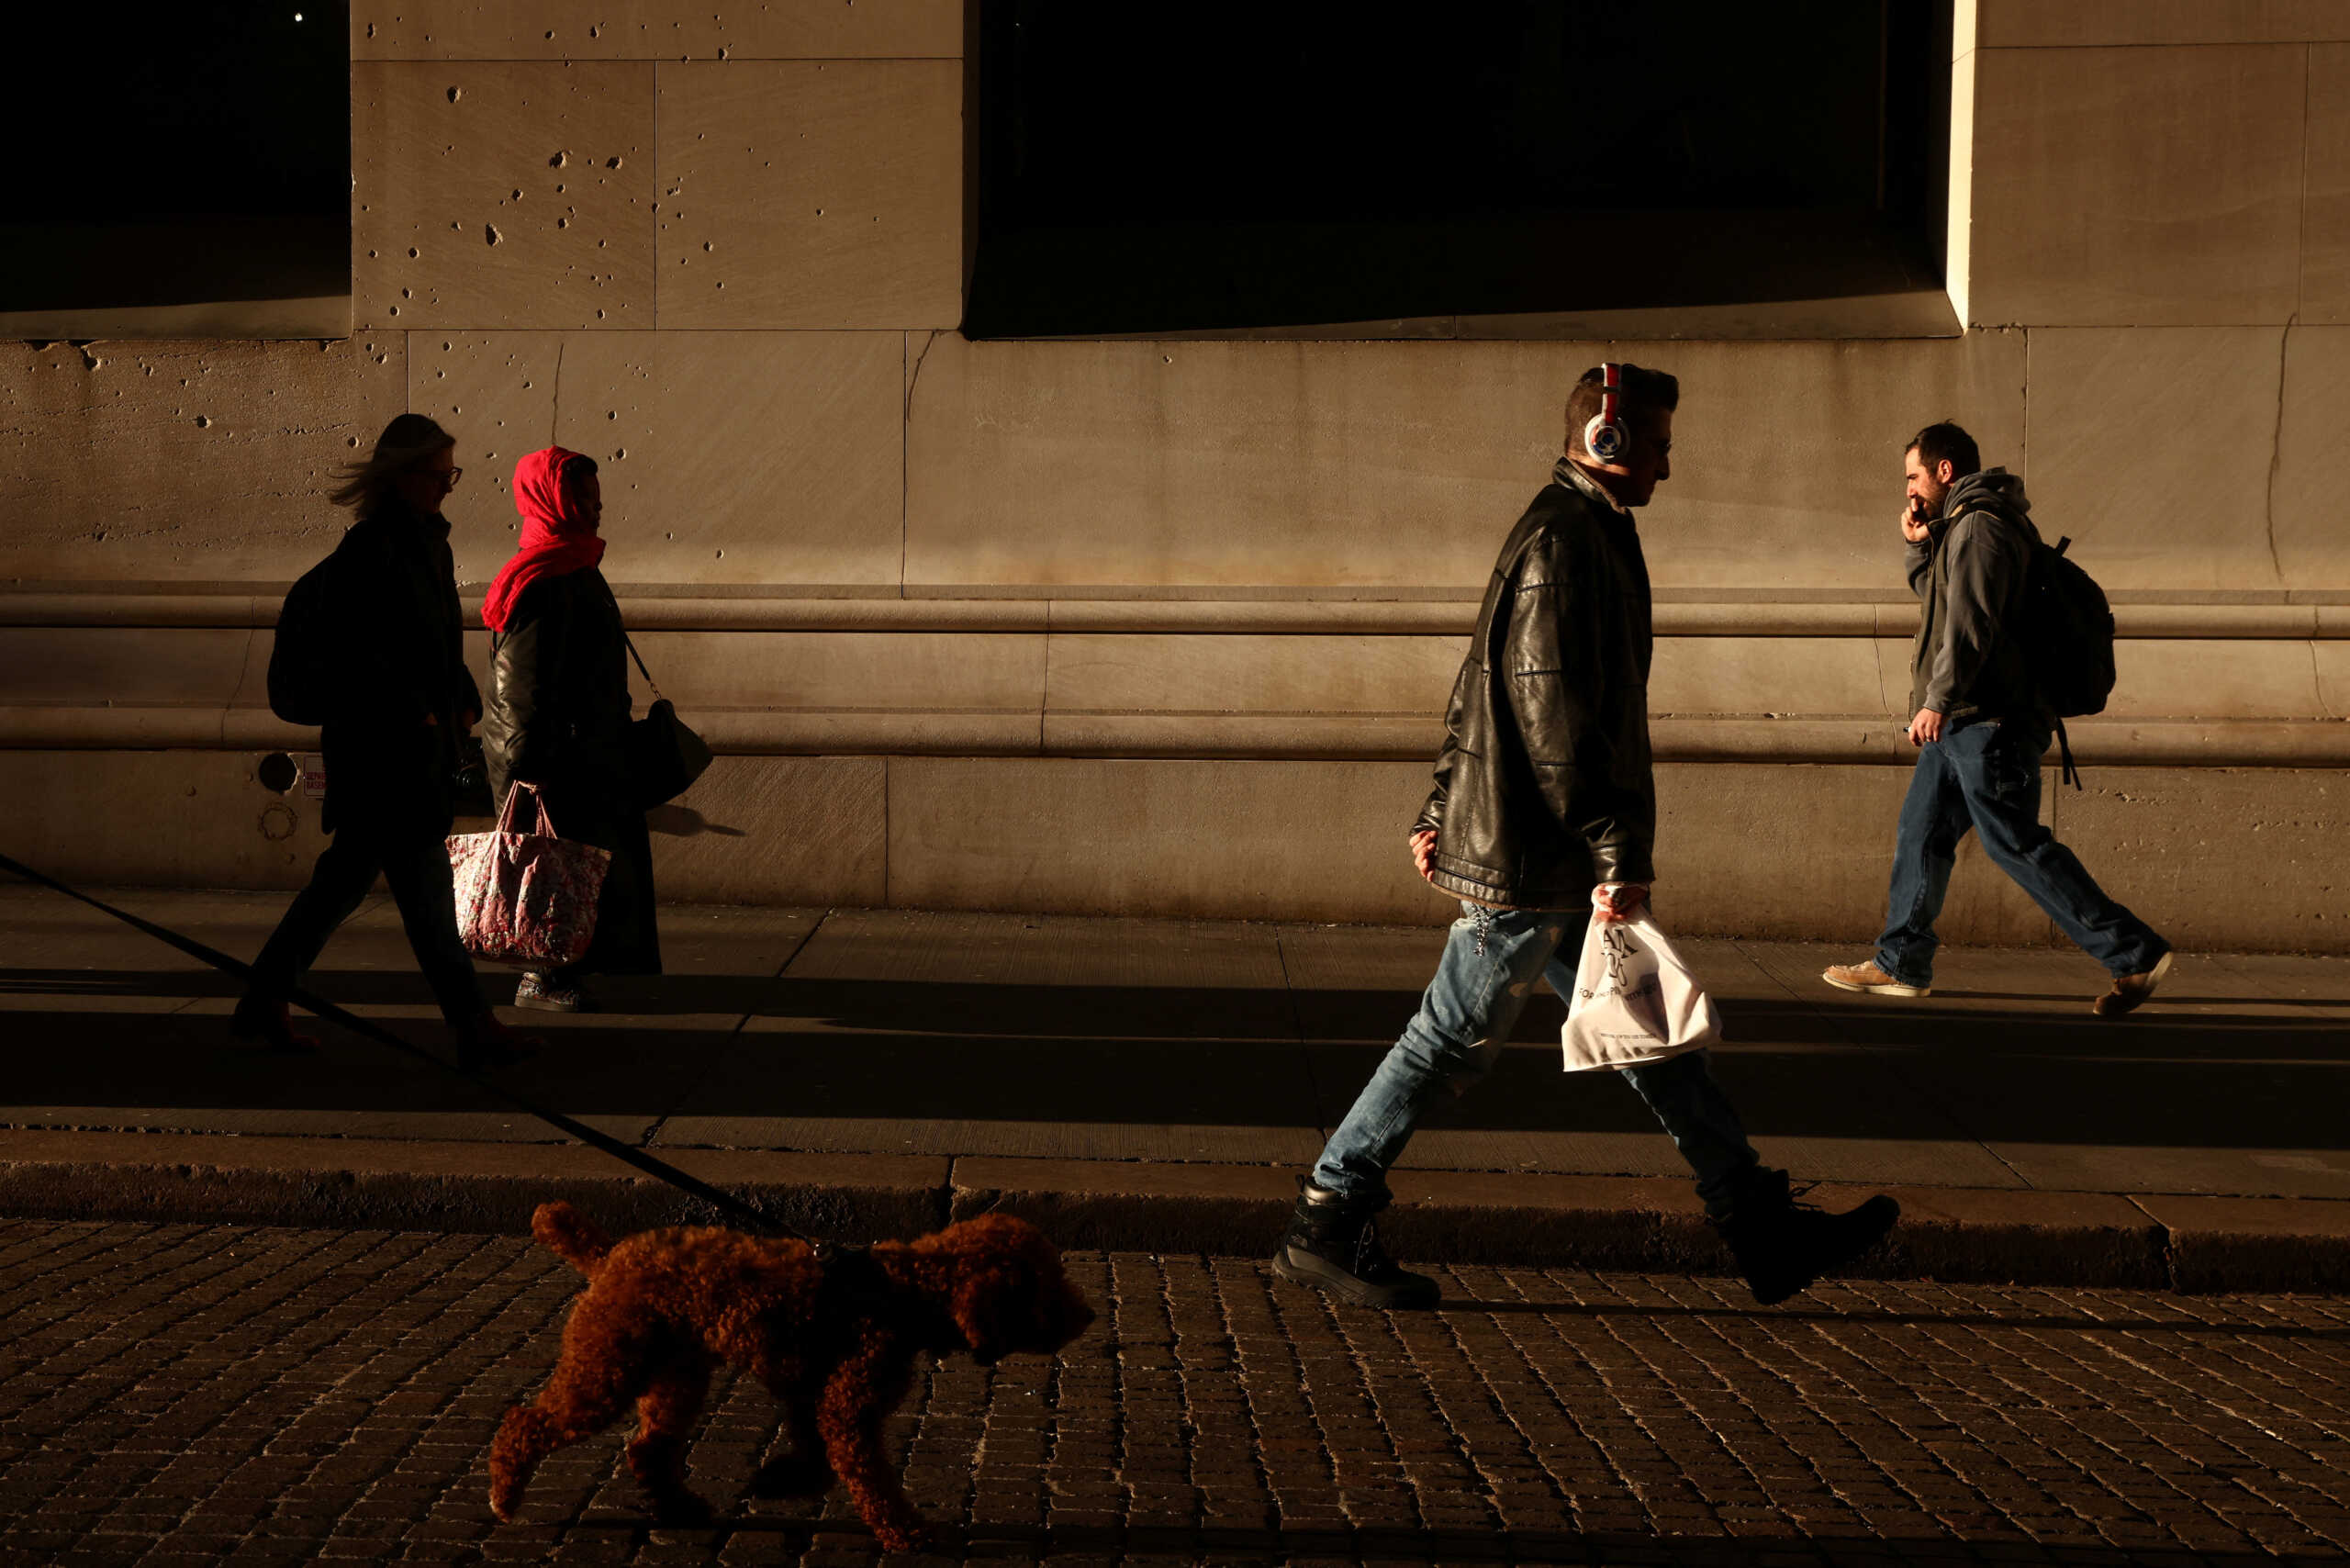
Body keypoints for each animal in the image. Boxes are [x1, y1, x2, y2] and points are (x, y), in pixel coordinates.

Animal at [491, 1213, 1094, 1551]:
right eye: (1047, 1283)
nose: (1088, 1315)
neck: (906, 1292)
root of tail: (610, 1255)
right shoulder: (847, 1409)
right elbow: (872, 1480)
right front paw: (906, 1533)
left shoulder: (814, 1399)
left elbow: (817, 1461)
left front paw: (776, 1480)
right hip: (607, 1370)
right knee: (524, 1423)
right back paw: (505, 1496)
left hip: (675, 1376)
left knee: (648, 1450)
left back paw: (679, 1508)